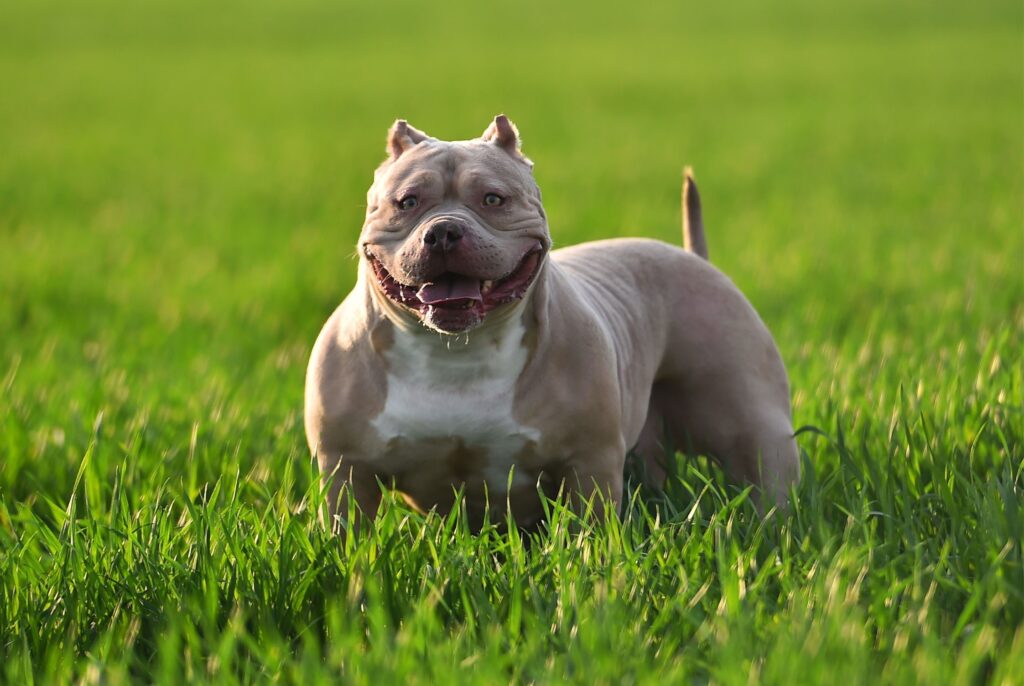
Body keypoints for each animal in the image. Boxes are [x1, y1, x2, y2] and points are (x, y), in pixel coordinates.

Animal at [303, 116, 798, 532]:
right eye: (406, 203)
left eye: (493, 199)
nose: (442, 231)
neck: (456, 352)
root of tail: (695, 258)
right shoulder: (346, 470)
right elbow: (349, 537)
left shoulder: (588, 464)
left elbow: (588, 534)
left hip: (752, 422)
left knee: (765, 474)